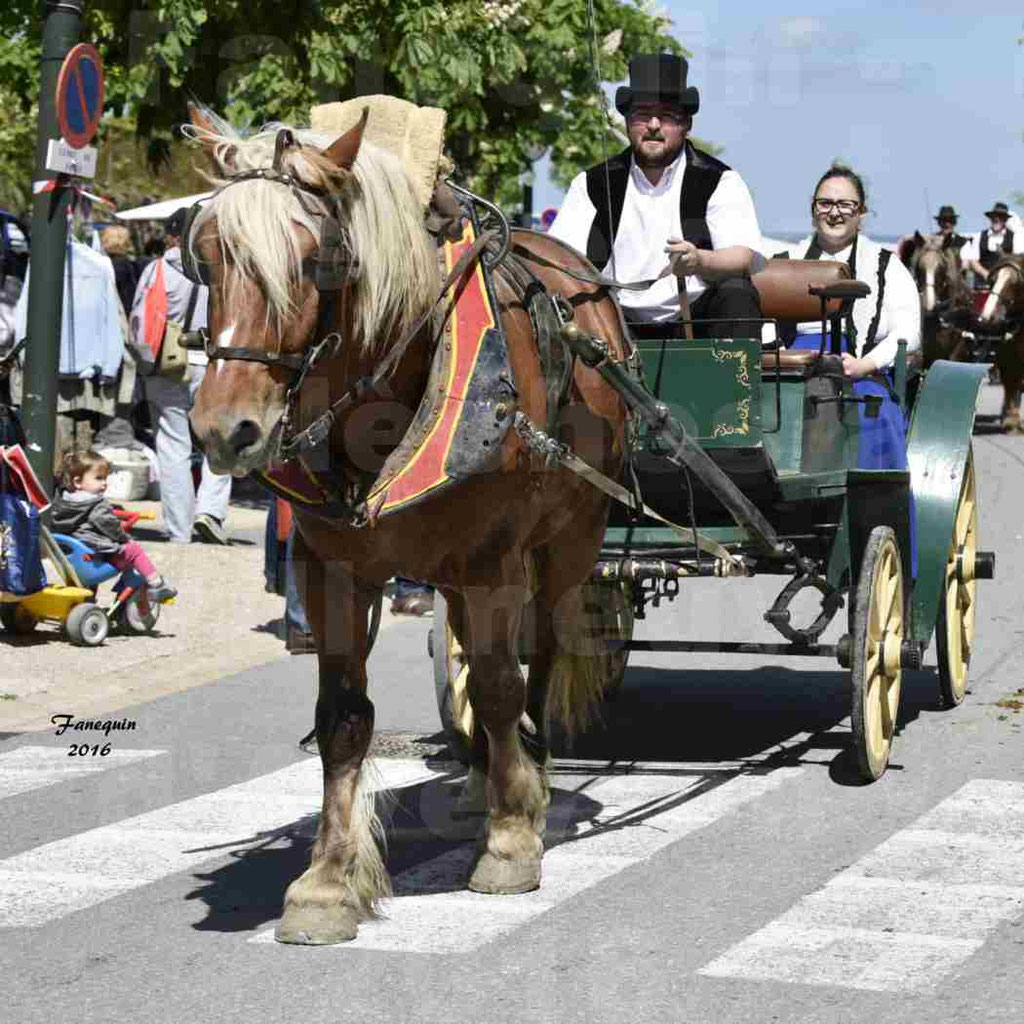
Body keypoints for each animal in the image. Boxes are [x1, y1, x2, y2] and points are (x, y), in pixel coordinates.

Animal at [187, 110, 626, 942]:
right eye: (205, 254)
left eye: (315, 259)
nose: (226, 429)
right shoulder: (329, 568)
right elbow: (343, 717)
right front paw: (327, 881)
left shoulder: (494, 560)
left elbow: (499, 685)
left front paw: (511, 841)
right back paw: (484, 778)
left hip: (568, 542)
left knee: (542, 653)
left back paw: (531, 776)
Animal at [974, 260, 1024, 432]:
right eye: (993, 280)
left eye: (1014, 283)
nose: (987, 316)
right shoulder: (1008, 354)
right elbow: (1011, 381)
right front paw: (1010, 419)